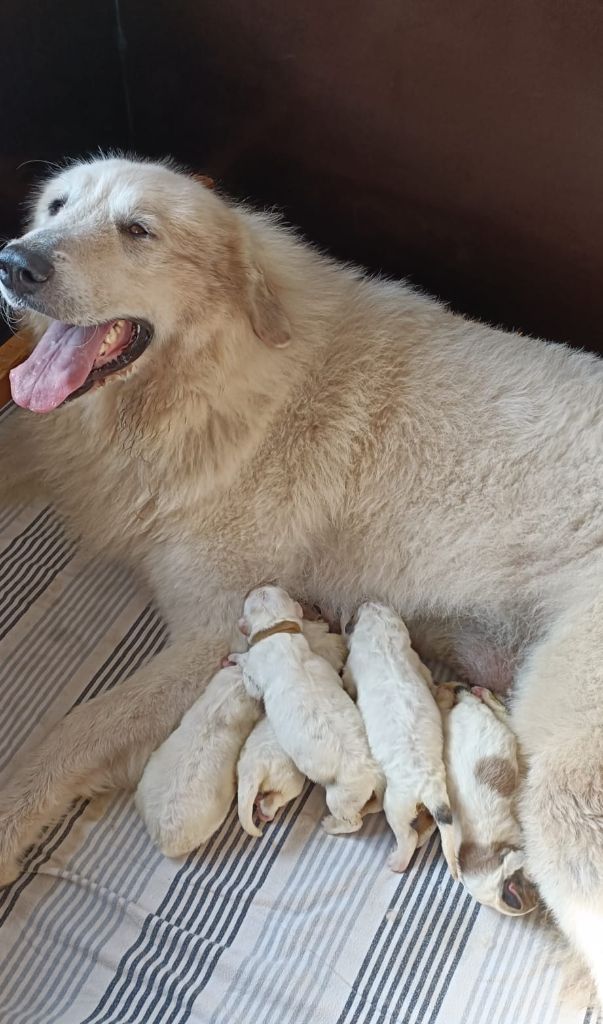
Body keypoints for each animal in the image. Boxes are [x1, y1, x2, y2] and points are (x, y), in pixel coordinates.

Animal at [230, 585, 380, 831]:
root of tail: (376, 775)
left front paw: (234, 657)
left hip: (341, 797)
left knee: (354, 821)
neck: (277, 631)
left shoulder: (255, 672)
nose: (259, 587)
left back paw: (331, 825)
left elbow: (250, 680)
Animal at [343, 602, 456, 876]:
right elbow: (428, 677)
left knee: (409, 836)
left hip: (395, 805)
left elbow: (347, 681)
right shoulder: (417, 662)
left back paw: (398, 861)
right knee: (427, 827)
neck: (385, 642)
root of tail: (431, 789)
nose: (366, 601)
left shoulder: (351, 668)